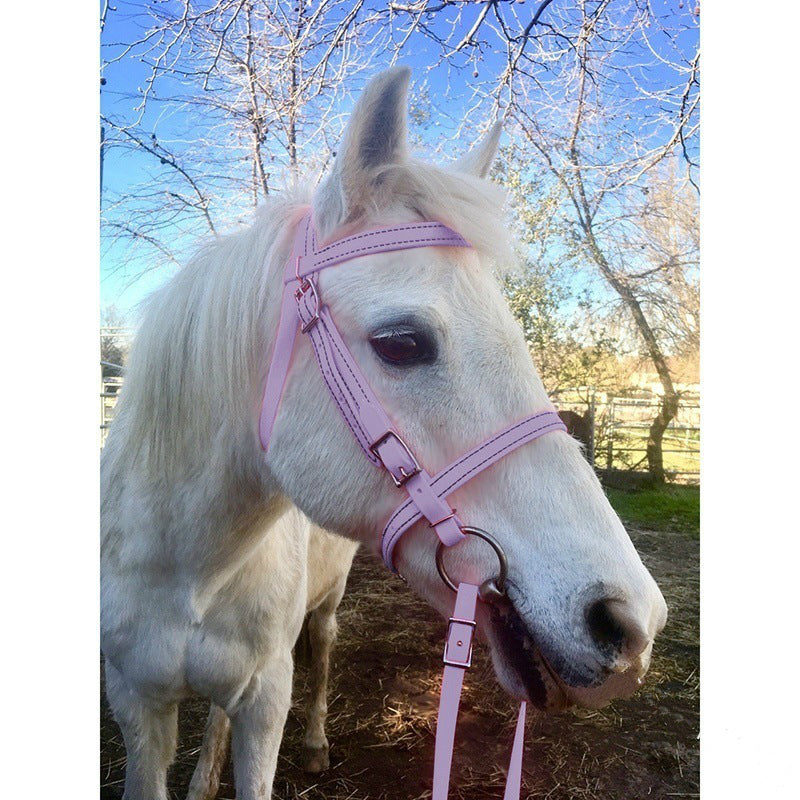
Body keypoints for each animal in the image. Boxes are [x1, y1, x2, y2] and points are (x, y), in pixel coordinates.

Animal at [100, 67, 667, 800]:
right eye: (402, 342)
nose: (632, 621)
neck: (190, 568)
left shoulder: (265, 700)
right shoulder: (136, 706)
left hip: (324, 610)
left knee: (321, 648)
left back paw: (314, 744)